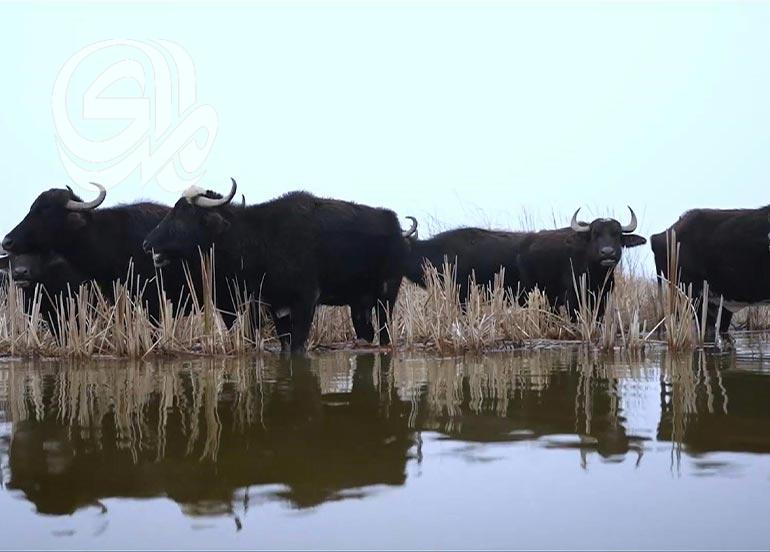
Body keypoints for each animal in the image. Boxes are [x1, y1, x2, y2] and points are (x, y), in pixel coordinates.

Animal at [143, 179, 409, 352]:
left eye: (183, 213)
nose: (147, 243)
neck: (261, 238)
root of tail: (396, 226)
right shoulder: (275, 305)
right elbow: (285, 346)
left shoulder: (306, 302)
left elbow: (298, 349)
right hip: (359, 303)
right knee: (367, 333)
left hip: (387, 295)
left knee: (385, 334)